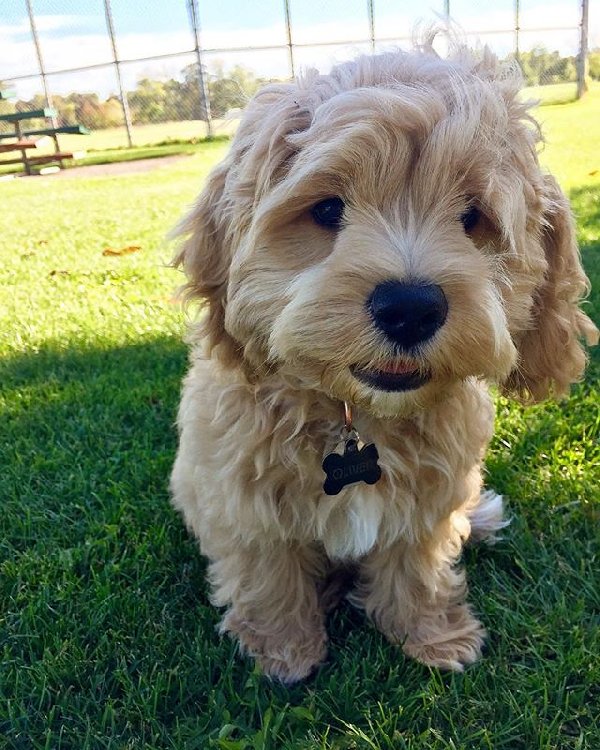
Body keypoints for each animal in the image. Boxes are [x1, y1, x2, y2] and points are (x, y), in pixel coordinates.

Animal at [168, 42, 596, 688]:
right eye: (327, 209)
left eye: (473, 218)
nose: (411, 308)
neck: (356, 416)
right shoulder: (238, 493)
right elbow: (268, 569)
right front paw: (283, 651)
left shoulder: (431, 495)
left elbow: (418, 562)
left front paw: (431, 636)